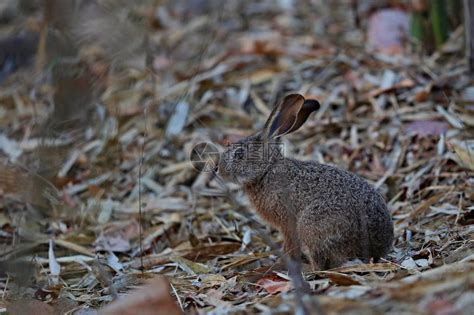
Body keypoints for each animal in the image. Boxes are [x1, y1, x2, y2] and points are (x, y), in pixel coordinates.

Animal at [218, 94, 392, 272]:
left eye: (239, 153)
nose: (219, 170)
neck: (266, 170)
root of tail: (375, 246)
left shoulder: (287, 223)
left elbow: (289, 246)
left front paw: (281, 263)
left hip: (311, 227)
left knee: (321, 263)